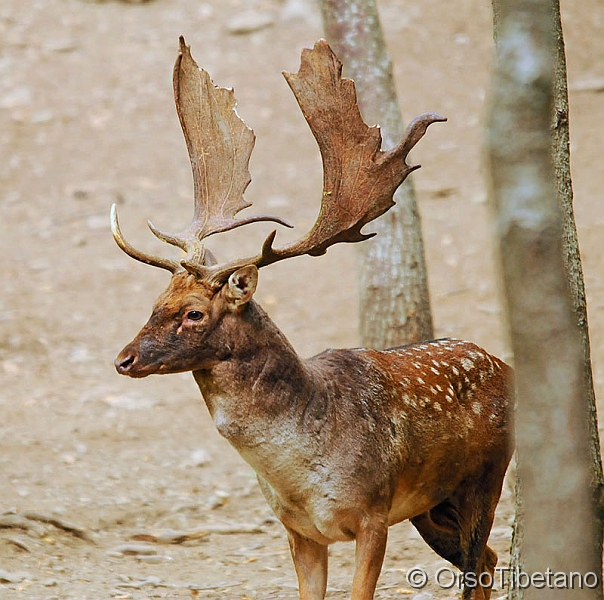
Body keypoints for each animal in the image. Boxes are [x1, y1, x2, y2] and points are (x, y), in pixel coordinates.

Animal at [111, 38, 512, 600]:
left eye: (194, 313)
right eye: (156, 299)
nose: (124, 359)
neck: (299, 474)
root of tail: (505, 363)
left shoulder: (372, 515)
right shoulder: (297, 529)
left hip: (485, 477)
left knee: (479, 562)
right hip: (431, 507)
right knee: (489, 560)